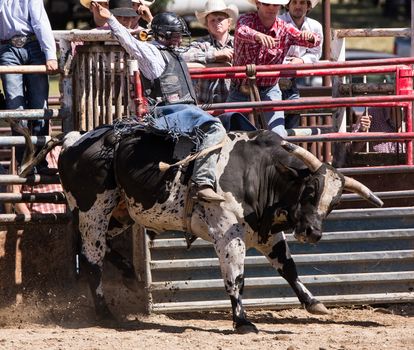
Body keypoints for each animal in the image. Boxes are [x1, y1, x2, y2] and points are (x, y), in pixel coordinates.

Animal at [56, 126, 384, 334]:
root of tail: (75, 138)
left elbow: (288, 268)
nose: (313, 233)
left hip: (120, 213)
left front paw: (314, 303)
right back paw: (105, 313)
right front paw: (243, 322)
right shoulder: (229, 235)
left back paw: (129, 274)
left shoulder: (266, 233)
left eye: (335, 201)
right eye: (311, 190)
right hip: (94, 210)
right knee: (92, 260)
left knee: (97, 250)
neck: (259, 172)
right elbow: (235, 278)